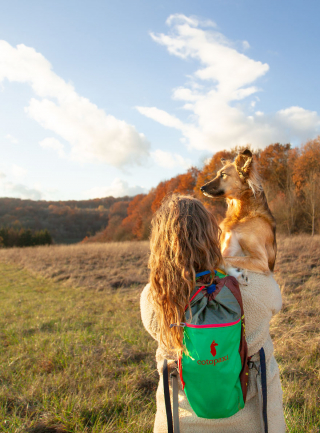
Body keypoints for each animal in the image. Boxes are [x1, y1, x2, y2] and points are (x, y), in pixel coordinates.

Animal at [201, 148, 276, 276]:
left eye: (223, 175)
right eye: (217, 174)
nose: (202, 188)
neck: (241, 215)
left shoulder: (261, 261)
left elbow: (224, 258)